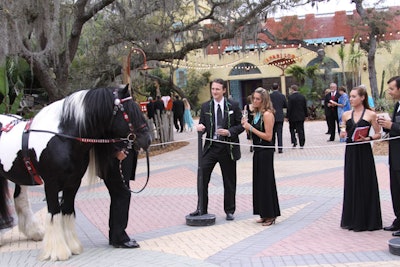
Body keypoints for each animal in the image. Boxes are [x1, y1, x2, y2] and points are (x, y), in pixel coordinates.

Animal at [0, 85, 152, 262]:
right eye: (128, 111)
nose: (147, 139)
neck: (62, 138)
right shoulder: (51, 184)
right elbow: (54, 212)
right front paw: (57, 251)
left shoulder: (73, 183)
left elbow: (67, 210)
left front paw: (72, 247)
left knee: (21, 200)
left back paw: (34, 232)